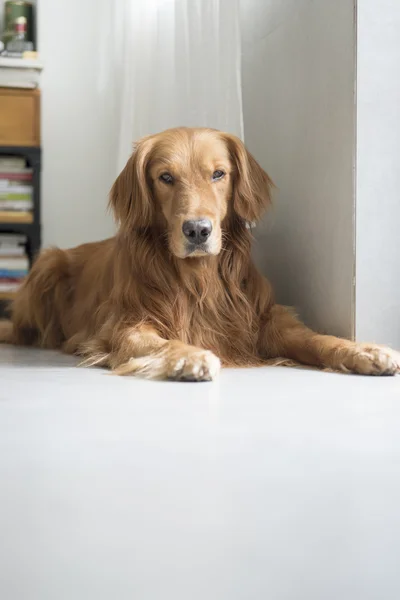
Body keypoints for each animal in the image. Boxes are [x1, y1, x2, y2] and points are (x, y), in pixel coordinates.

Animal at [0, 126, 400, 380]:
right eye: (165, 178)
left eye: (219, 174)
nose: (197, 230)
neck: (198, 278)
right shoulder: (124, 325)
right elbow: (156, 342)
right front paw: (188, 355)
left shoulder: (263, 321)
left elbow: (315, 338)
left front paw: (365, 351)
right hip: (48, 263)